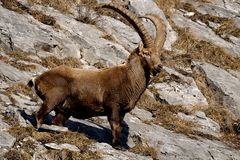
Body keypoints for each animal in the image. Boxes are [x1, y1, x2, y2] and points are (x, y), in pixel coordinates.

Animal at [28, 3, 166, 148]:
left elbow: (119, 126)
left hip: (65, 109)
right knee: (40, 114)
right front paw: (117, 145)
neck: (129, 78)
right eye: (146, 53)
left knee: (57, 120)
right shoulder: (113, 105)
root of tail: (38, 79)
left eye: (159, 55)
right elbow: (115, 125)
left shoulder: (122, 111)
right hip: (54, 98)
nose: (159, 66)